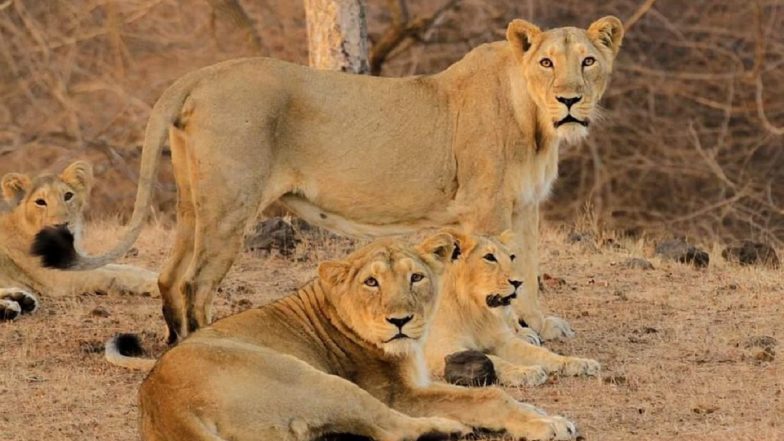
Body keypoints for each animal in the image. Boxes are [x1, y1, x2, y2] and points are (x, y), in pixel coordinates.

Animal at [0, 161, 158, 321]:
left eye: (68, 196)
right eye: (40, 202)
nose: (62, 225)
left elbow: (125, 269)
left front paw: (154, 276)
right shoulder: (54, 278)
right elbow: (105, 274)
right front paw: (154, 284)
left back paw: (21, 301)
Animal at [33, 17, 624, 344]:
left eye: (588, 62)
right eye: (546, 63)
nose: (570, 101)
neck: (536, 123)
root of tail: (200, 74)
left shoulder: (524, 208)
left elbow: (529, 268)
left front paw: (541, 324)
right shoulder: (485, 209)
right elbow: (497, 273)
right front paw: (515, 329)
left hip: (192, 204)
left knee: (169, 274)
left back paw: (176, 344)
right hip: (230, 206)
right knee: (195, 282)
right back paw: (205, 348)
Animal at [109, 233, 578, 441]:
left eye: (416, 277)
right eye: (371, 282)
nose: (400, 321)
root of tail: (162, 400)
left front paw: (543, 413)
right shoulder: (398, 393)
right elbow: (487, 396)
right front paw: (546, 424)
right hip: (319, 380)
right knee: (392, 430)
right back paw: (450, 428)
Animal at [425, 230, 600, 387]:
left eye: (512, 257)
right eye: (489, 257)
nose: (518, 282)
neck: (476, 310)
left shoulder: (503, 340)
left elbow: (538, 353)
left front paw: (580, 363)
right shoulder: (442, 348)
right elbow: (494, 360)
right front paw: (525, 372)